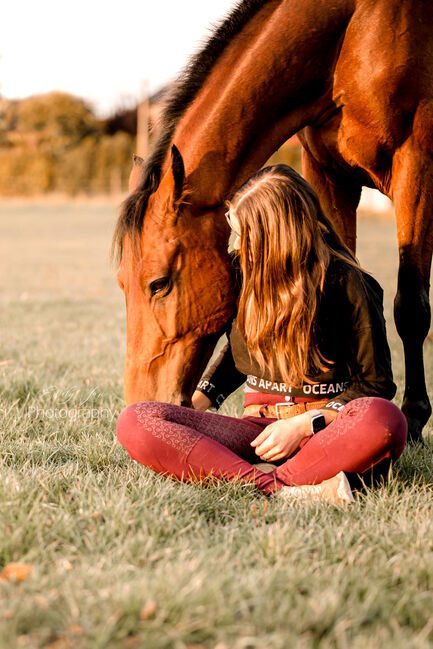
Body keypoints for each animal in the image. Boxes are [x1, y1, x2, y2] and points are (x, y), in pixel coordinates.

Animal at [113, 0, 432, 440]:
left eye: (158, 284)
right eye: (121, 283)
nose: (138, 402)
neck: (355, 33)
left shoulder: (415, 167)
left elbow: (411, 307)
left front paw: (414, 418)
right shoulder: (327, 173)